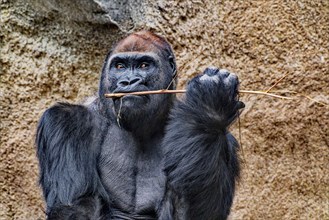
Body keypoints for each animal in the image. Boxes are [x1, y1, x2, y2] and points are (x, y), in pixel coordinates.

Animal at [36, 30, 243, 219]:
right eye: (120, 66)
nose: (128, 81)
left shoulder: (226, 142)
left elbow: (197, 211)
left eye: (144, 65)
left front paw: (210, 109)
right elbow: (77, 206)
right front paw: (212, 103)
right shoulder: (66, 121)